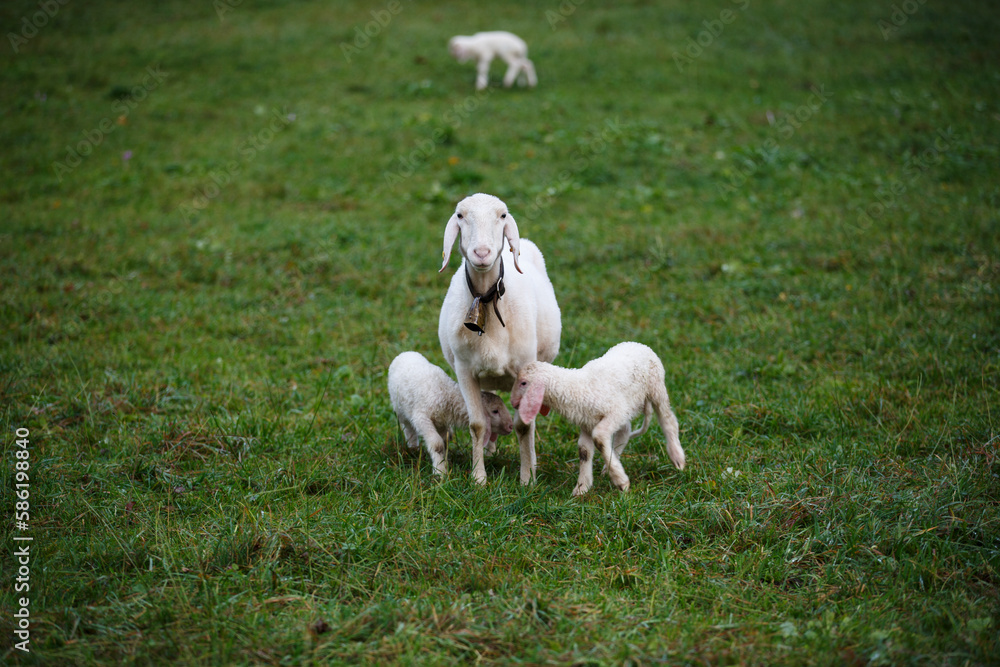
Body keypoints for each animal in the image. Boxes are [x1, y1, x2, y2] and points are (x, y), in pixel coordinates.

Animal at [438, 193, 561, 485]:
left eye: (503, 215)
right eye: (460, 216)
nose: (482, 253)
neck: (486, 299)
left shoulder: (524, 370)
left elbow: (524, 426)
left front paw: (527, 479)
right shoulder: (465, 371)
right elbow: (477, 424)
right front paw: (478, 478)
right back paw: (490, 449)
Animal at [509, 342, 685, 497]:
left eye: (523, 383)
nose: (512, 402)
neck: (578, 386)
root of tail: (639, 344)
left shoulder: (615, 411)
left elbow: (599, 437)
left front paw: (621, 482)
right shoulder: (587, 422)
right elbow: (584, 451)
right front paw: (582, 488)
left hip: (656, 388)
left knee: (668, 420)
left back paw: (677, 458)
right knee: (625, 431)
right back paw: (610, 465)